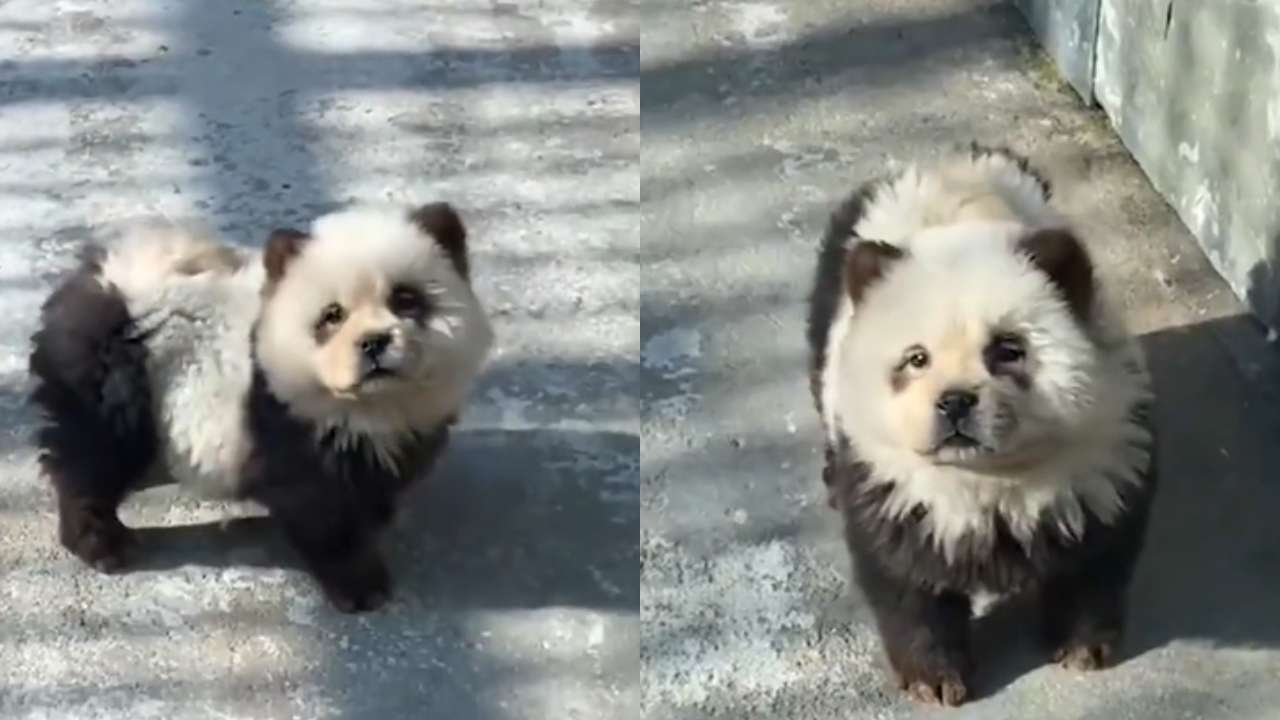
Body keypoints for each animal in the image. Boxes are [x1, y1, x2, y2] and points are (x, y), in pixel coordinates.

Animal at [28, 202, 495, 613]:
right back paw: (102, 543)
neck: (372, 403)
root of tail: (108, 278)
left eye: (406, 299)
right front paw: (360, 585)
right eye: (332, 315)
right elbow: (321, 511)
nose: (374, 342)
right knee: (92, 457)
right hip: (114, 379)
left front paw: (378, 518)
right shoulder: (288, 426)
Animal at [805, 143, 1158, 705]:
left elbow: (1095, 555)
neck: (989, 479)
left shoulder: (1103, 456)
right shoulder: (895, 484)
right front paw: (934, 678)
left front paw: (1081, 646)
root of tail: (945, 163)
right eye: (916, 358)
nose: (954, 403)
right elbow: (906, 579)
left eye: (1007, 350)